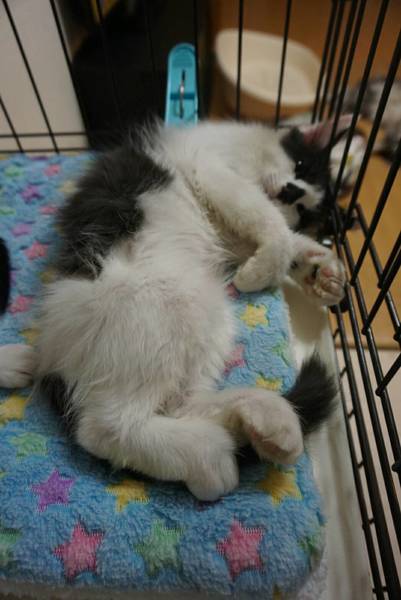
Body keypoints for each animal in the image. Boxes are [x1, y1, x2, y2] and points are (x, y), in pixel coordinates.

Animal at [6, 117, 348, 500]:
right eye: (300, 166)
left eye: (304, 208)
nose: (291, 191)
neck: (246, 159)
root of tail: (52, 360)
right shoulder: (210, 169)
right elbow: (269, 220)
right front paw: (262, 273)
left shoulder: (231, 231)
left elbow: (285, 236)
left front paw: (322, 272)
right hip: (169, 306)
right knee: (105, 426)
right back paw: (211, 456)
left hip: (209, 321)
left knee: (180, 408)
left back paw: (266, 421)